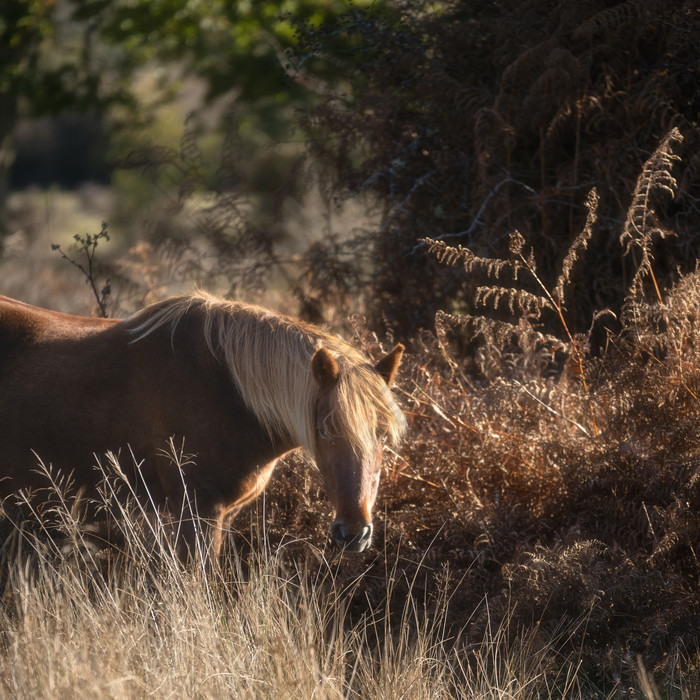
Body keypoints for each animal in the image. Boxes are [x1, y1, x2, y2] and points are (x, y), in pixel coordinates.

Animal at [0, 292, 404, 560]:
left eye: (384, 435)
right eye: (324, 431)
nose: (354, 532)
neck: (227, 389)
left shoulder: (224, 514)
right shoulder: (197, 510)